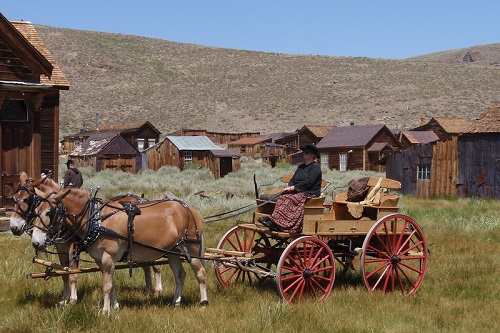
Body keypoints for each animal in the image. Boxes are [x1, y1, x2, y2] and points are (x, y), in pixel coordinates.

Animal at [10, 172, 162, 304]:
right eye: (14, 198)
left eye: (25, 199)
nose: (13, 227)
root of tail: (142, 198)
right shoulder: (61, 249)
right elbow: (64, 273)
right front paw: (64, 299)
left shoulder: (73, 248)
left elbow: (72, 274)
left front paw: (72, 299)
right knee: (145, 265)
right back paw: (148, 289)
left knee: (155, 265)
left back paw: (157, 289)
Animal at [32, 187, 207, 314]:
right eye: (36, 211)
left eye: (49, 212)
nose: (35, 242)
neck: (96, 218)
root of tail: (191, 209)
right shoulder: (100, 259)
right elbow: (111, 283)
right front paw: (115, 306)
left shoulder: (108, 257)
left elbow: (106, 285)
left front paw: (105, 310)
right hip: (173, 251)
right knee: (180, 275)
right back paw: (175, 302)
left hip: (192, 248)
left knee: (200, 273)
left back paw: (203, 302)